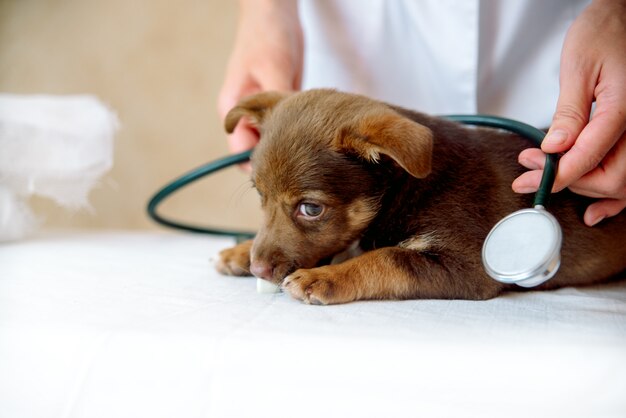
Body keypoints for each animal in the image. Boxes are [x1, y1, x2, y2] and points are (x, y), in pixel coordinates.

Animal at [216, 89, 624, 304]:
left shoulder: (467, 265)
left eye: (311, 208)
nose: (258, 269)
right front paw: (239, 251)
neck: (406, 186)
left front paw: (324, 277)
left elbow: (384, 258)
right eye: (260, 195)